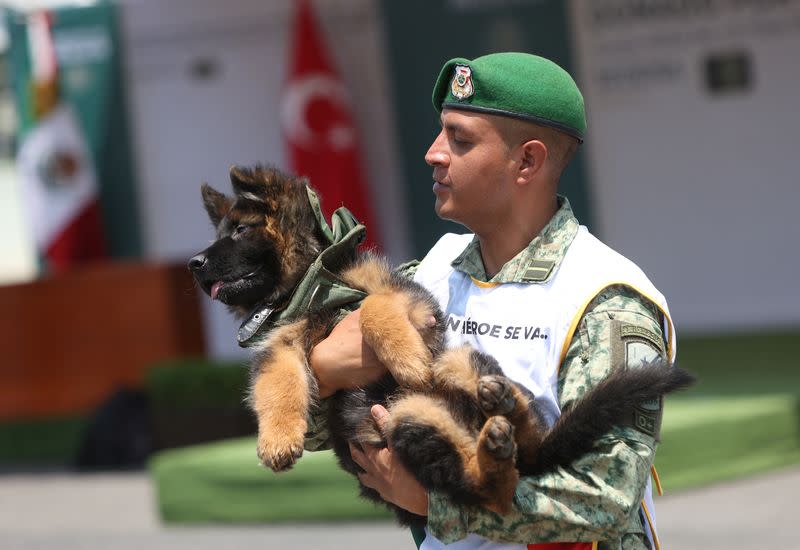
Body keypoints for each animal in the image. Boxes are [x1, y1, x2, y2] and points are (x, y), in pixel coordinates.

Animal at [188, 166, 692, 528]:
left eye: (241, 231)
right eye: (219, 234)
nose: (193, 263)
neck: (313, 284)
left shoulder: (408, 301)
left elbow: (373, 311)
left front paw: (406, 357)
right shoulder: (282, 345)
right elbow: (277, 384)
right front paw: (277, 440)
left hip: (449, 366)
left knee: (505, 476)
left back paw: (501, 413)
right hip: (414, 417)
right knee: (497, 482)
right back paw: (498, 433)